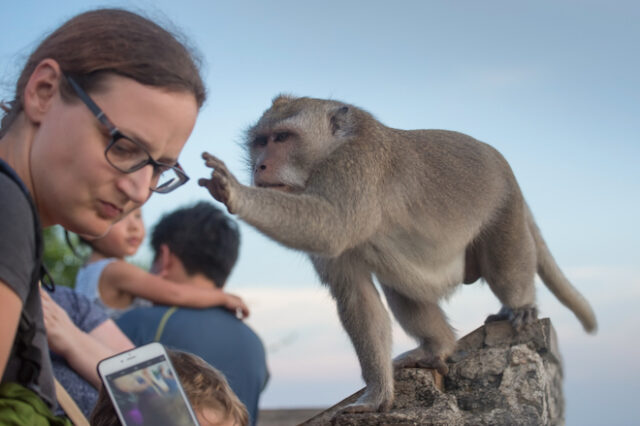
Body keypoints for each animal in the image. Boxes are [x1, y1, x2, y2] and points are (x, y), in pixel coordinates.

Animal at [198, 94, 596, 412]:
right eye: (260, 141)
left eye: (282, 138)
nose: (259, 166)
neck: (331, 151)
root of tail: (508, 170)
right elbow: (357, 296)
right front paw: (377, 393)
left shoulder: (355, 169)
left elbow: (330, 225)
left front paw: (235, 192)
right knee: (400, 285)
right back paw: (436, 347)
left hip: (505, 209)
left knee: (505, 268)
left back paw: (520, 306)